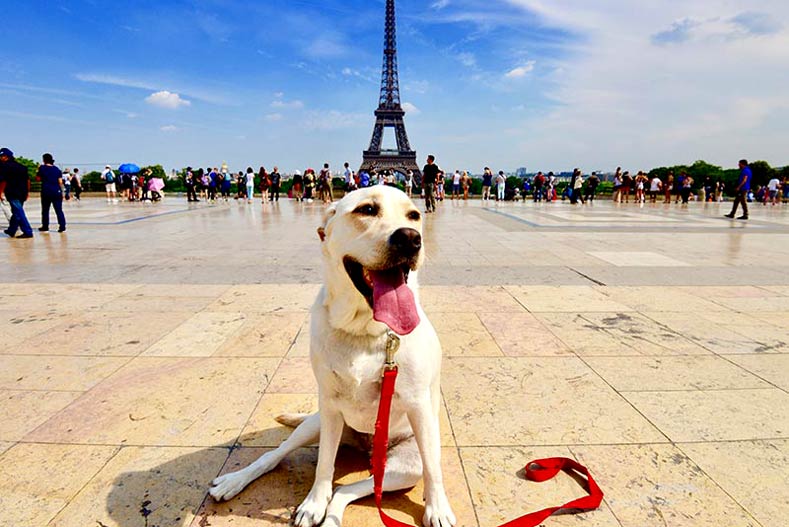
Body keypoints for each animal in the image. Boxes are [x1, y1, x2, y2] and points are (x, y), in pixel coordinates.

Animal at [209, 186, 456, 527]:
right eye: (367, 210)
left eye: (414, 215)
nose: (410, 238)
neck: (365, 331)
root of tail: (367, 449)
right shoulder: (328, 404)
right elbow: (324, 464)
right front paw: (314, 502)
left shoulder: (419, 408)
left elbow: (434, 469)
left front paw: (437, 508)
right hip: (315, 424)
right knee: (275, 455)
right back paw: (235, 481)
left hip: (405, 466)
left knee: (348, 490)